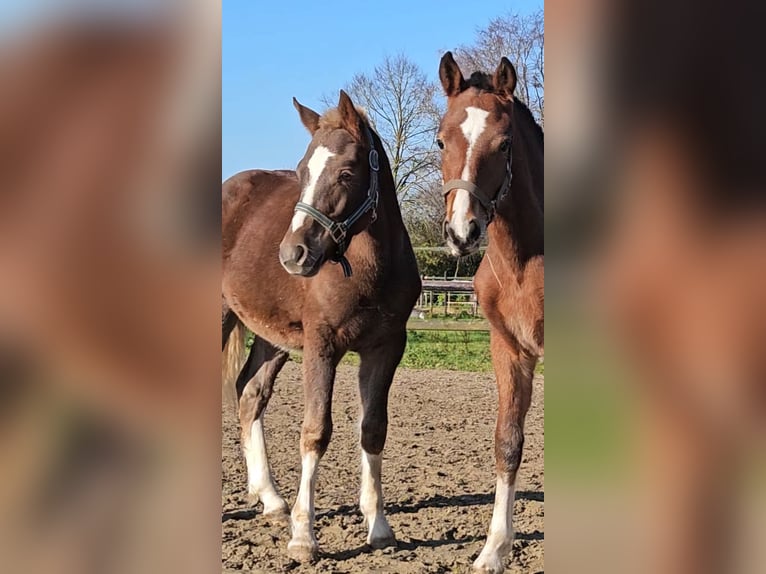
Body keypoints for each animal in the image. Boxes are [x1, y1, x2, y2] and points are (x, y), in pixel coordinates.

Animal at [222, 92, 424, 564]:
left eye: (346, 172)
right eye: (301, 171)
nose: (293, 254)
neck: (369, 271)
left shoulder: (386, 347)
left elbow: (373, 429)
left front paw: (379, 528)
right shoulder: (322, 345)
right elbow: (315, 431)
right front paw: (303, 537)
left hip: (271, 336)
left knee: (250, 394)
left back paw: (271, 499)